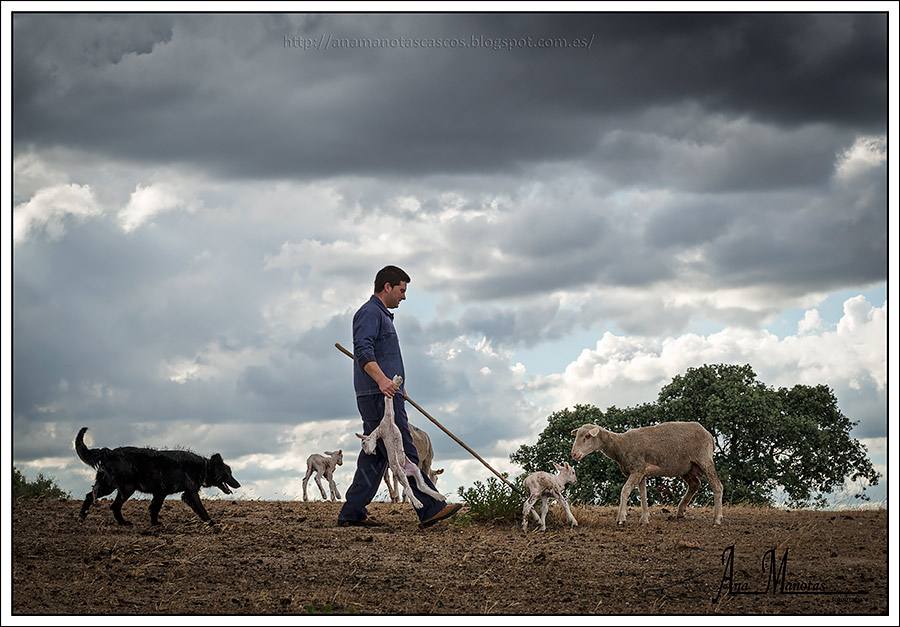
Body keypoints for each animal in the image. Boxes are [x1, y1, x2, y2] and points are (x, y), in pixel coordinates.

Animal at [75, 426, 241, 524]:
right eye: (228, 473)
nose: (238, 484)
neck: (204, 467)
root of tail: (108, 452)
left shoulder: (161, 493)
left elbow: (154, 508)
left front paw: (155, 523)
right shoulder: (190, 493)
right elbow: (201, 508)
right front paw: (211, 522)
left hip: (113, 486)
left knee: (95, 498)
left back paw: (86, 517)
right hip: (123, 487)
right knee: (109, 503)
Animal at [356, 376, 446, 512]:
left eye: (364, 443)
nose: (368, 452)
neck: (382, 427)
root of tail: (406, 470)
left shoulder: (390, 417)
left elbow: (388, 400)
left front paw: (396, 381)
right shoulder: (387, 417)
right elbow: (387, 399)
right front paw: (395, 381)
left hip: (414, 469)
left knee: (421, 486)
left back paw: (438, 496)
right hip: (401, 472)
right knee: (409, 488)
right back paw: (418, 503)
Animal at [568, 422, 724, 524]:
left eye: (587, 436)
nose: (574, 454)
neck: (620, 445)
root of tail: (709, 434)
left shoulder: (637, 469)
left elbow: (625, 490)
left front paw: (621, 518)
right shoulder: (641, 472)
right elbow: (643, 494)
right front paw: (644, 518)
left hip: (704, 459)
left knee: (717, 486)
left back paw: (717, 518)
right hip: (687, 467)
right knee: (694, 484)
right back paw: (680, 512)